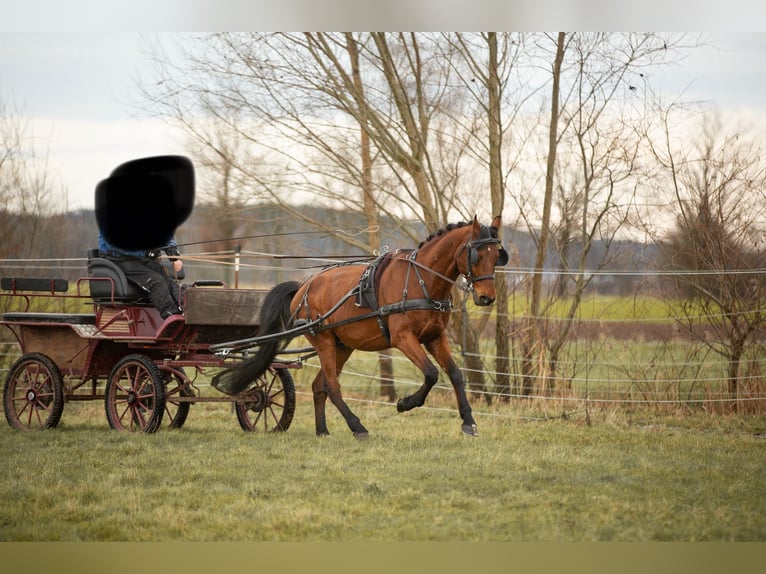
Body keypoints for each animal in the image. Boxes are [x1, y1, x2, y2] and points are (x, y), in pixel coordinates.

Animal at [213, 217, 508, 440]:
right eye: (475, 254)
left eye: (496, 255)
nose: (487, 298)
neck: (421, 280)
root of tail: (304, 286)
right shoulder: (403, 338)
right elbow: (431, 373)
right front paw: (404, 403)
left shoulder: (435, 337)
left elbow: (456, 374)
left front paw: (468, 422)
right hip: (323, 341)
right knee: (332, 386)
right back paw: (357, 427)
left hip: (342, 346)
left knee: (320, 385)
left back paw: (322, 431)